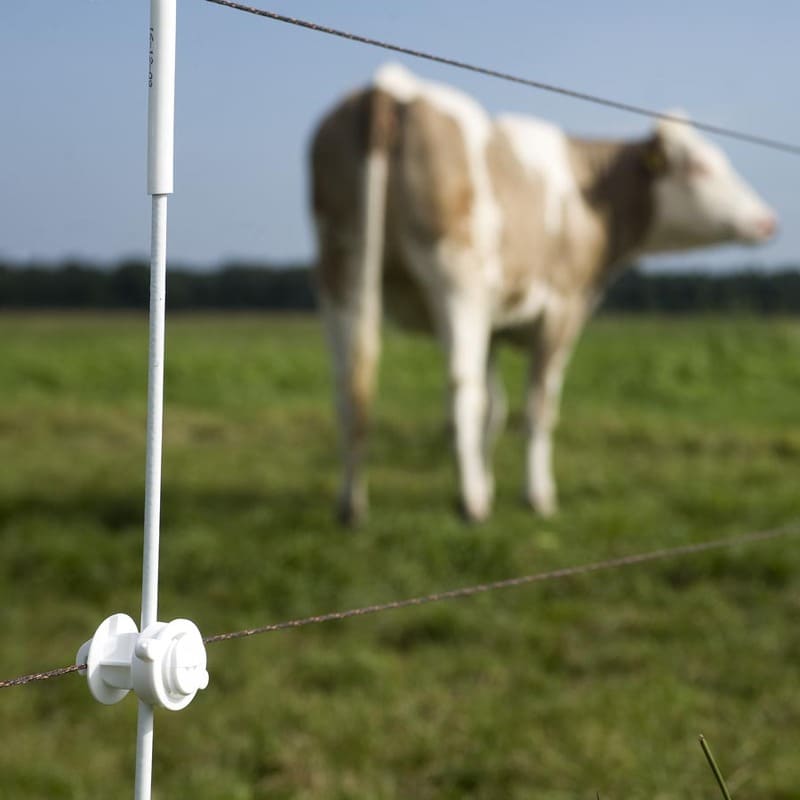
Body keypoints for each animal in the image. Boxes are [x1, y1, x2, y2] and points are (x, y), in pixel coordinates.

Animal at [310, 62, 777, 524]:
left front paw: (491, 482)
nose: (767, 220)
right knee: (460, 390)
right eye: (700, 167)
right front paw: (535, 496)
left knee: (350, 387)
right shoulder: (563, 308)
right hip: (458, 282)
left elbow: (496, 410)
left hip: (340, 269)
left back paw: (351, 505)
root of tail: (390, 85)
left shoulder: (496, 327)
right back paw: (470, 503)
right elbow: (537, 408)